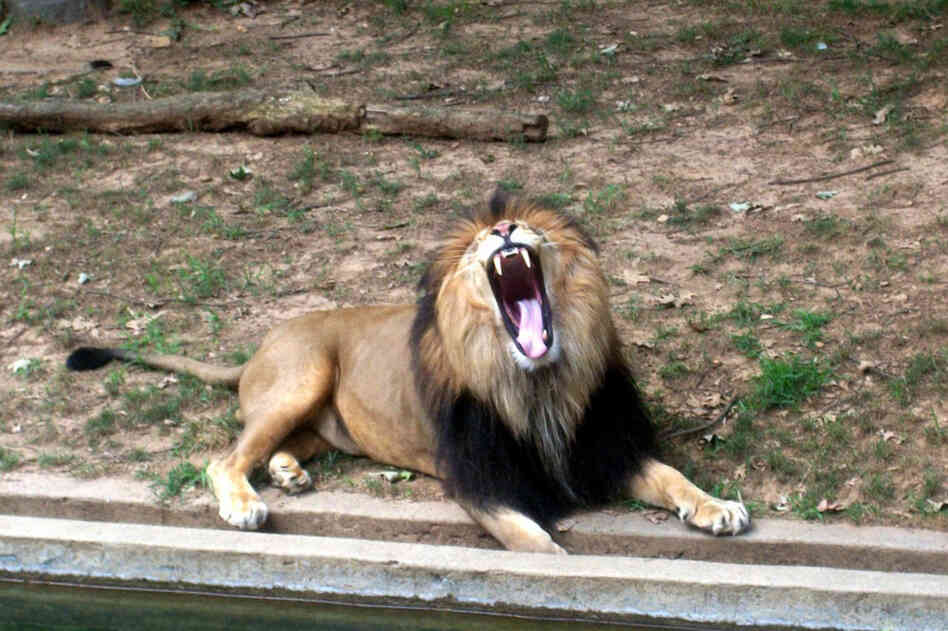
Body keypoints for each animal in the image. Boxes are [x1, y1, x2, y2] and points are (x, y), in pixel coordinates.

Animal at [66, 190, 749, 553]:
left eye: (533, 228)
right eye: (478, 241)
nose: (505, 228)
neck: (538, 383)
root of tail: (259, 346)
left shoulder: (604, 449)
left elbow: (671, 476)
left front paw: (717, 506)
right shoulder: (479, 481)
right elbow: (533, 541)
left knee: (282, 445)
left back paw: (288, 472)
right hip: (301, 376)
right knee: (225, 457)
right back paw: (245, 504)